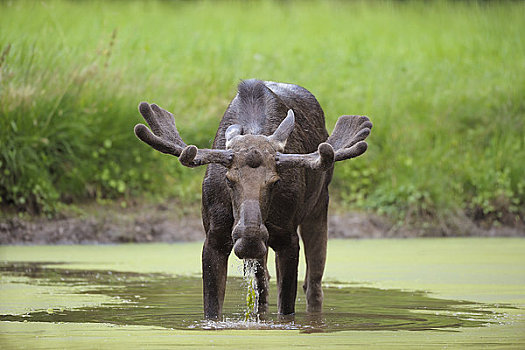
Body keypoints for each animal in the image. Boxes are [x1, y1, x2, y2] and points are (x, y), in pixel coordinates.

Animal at [135, 80, 372, 320]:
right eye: (228, 179)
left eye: (275, 181)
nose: (250, 238)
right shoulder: (214, 237)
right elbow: (212, 310)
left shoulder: (288, 238)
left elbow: (287, 310)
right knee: (264, 285)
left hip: (319, 205)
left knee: (313, 284)